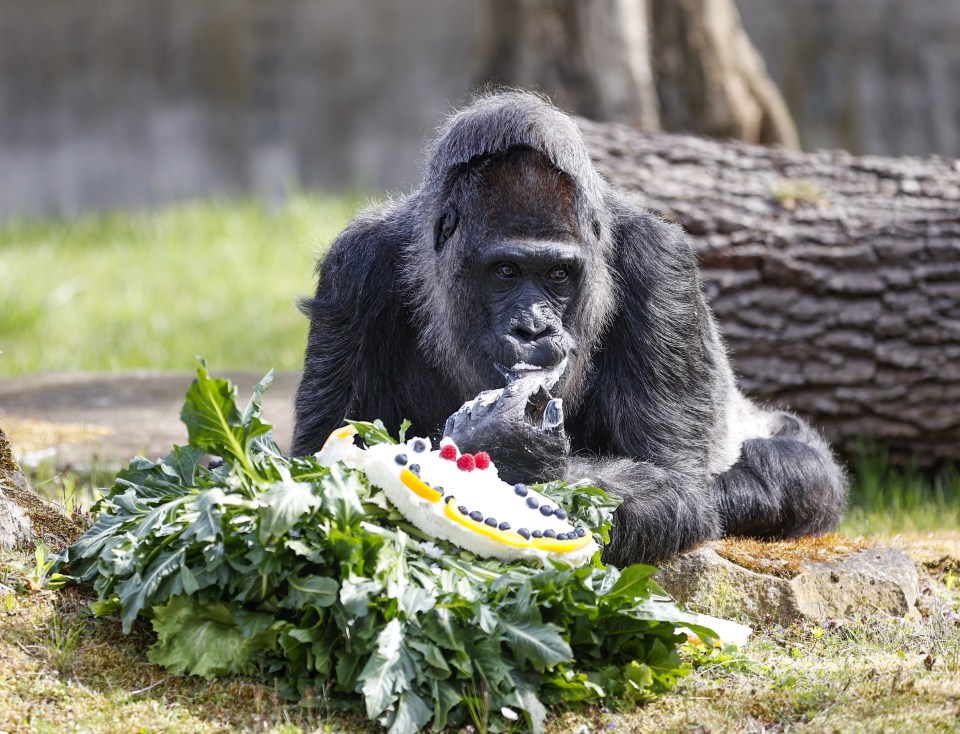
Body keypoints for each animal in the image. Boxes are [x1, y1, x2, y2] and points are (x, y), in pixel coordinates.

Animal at [294, 89, 848, 568]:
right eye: (506, 272)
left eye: (558, 275)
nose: (533, 329)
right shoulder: (353, 270)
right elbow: (318, 456)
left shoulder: (661, 264)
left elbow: (676, 483)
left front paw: (507, 448)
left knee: (795, 469)